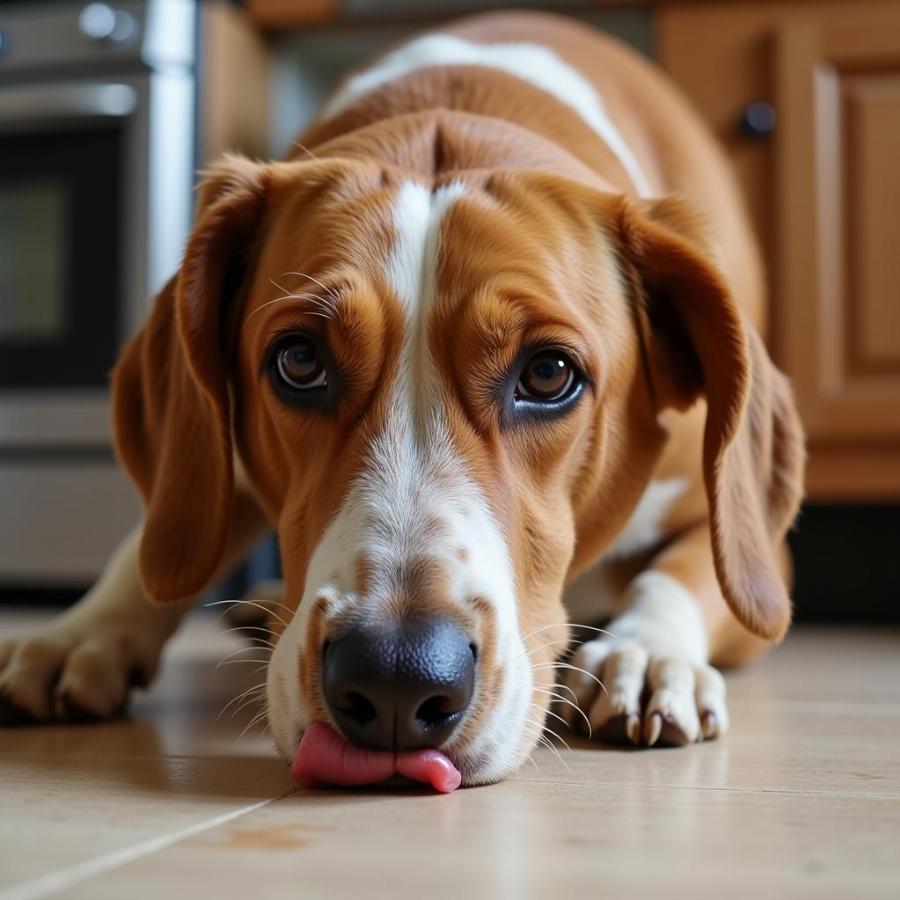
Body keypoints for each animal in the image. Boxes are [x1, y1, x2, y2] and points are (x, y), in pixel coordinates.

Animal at [0, 12, 800, 788]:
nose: (394, 677)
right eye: (299, 360)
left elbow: (689, 572)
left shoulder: (748, 537)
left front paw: (646, 654)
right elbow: (160, 541)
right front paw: (79, 633)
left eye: (549, 374)